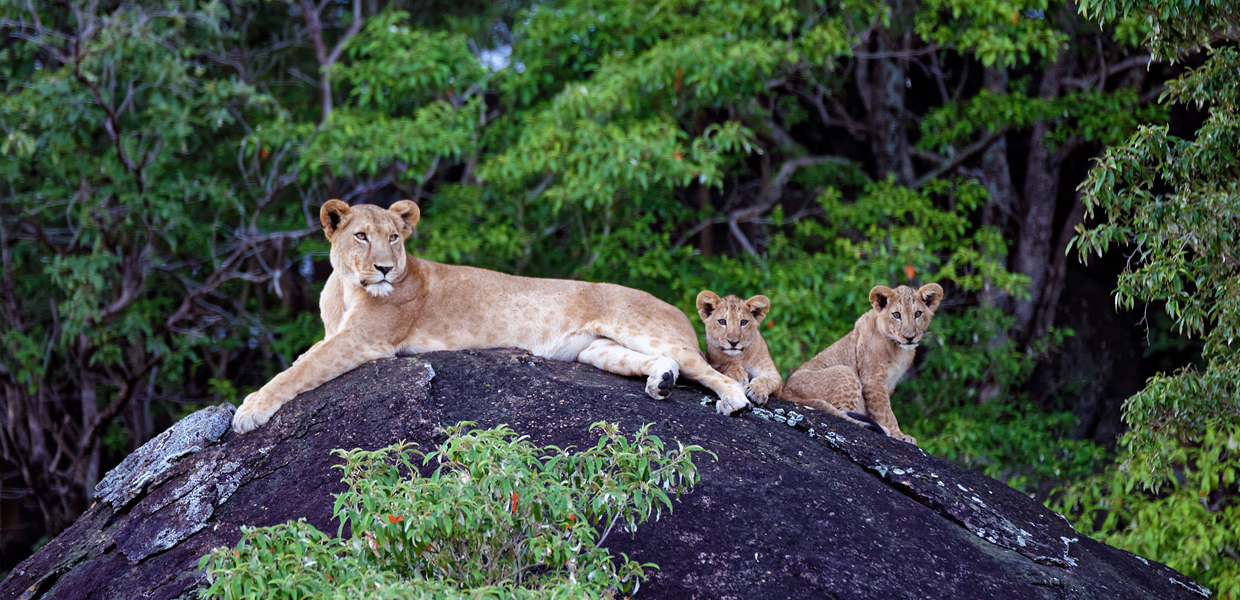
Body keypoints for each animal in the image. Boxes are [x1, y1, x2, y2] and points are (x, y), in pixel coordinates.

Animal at [233, 200, 748, 431]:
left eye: (394, 237)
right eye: (361, 236)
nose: (383, 268)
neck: (345, 287)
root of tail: (678, 310)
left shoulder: (364, 340)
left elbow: (299, 370)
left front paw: (249, 410)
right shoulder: (338, 332)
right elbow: (304, 359)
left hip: (640, 328)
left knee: (707, 367)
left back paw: (732, 399)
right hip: (598, 350)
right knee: (666, 363)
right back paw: (661, 383)